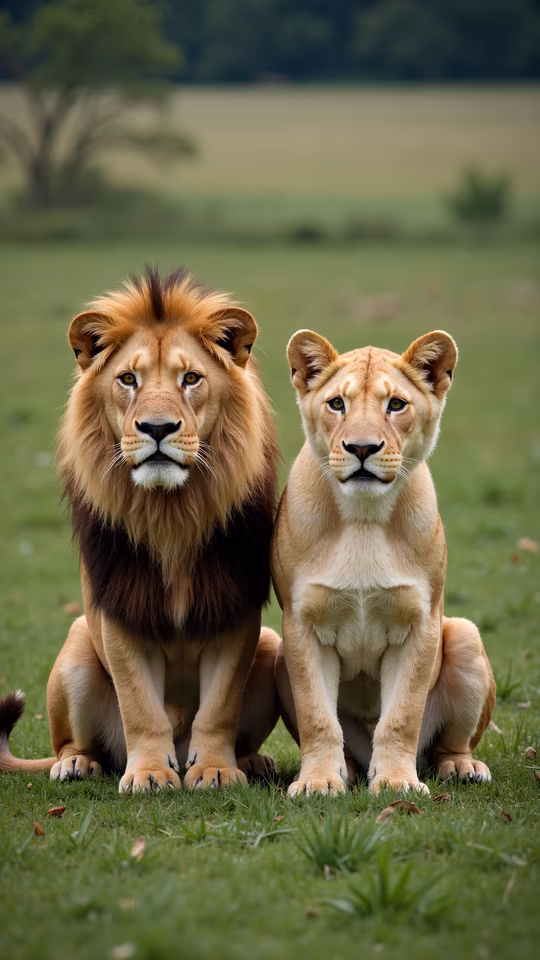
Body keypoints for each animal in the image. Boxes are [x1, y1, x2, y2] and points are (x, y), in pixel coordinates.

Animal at [0, 267, 281, 792]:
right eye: (128, 379)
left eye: (190, 378)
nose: (156, 427)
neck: (170, 514)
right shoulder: (120, 612)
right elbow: (139, 705)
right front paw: (149, 773)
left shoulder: (235, 613)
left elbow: (219, 707)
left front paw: (216, 770)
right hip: (76, 646)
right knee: (74, 744)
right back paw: (78, 764)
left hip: (273, 646)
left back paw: (250, 762)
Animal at [272, 328, 496, 796]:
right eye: (337, 403)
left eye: (395, 404)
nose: (361, 448)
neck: (364, 516)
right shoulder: (301, 625)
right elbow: (318, 716)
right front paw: (318, 782)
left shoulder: (420, 624)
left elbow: (401, 717)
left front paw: (396, 783)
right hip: (279, 653)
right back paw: (347, 770)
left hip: (464, 636)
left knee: (448, 744)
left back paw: (461, 767)